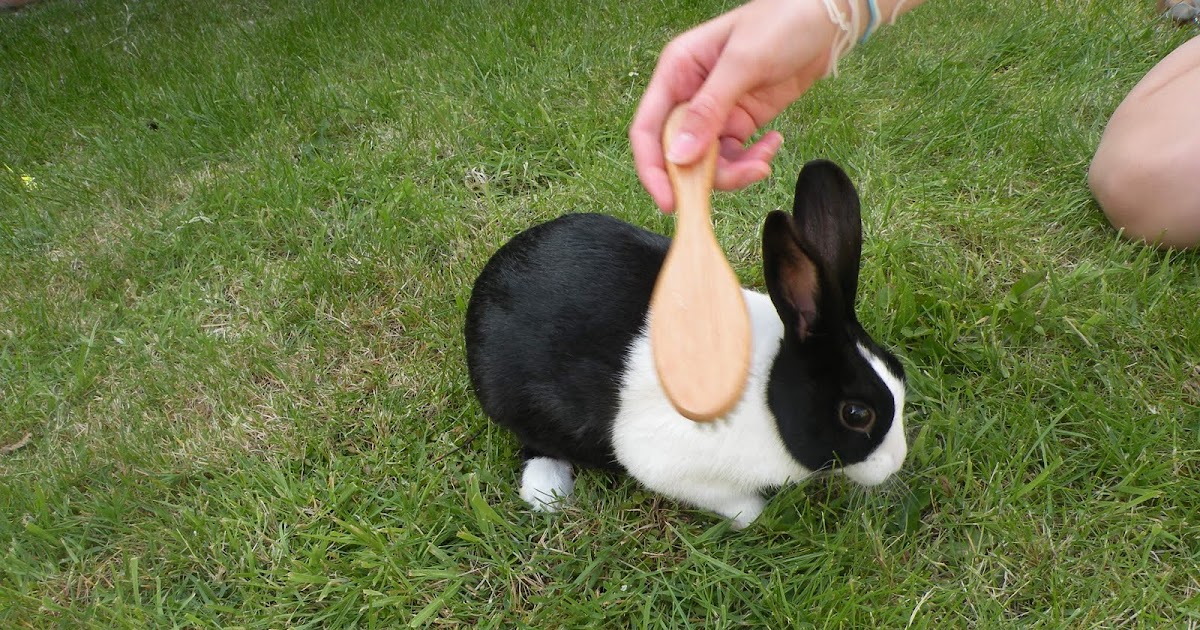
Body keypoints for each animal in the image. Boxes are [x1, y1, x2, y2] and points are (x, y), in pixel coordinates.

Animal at [464, 159, 906, 529]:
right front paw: (754, 516)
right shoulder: (674, 462)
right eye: (856, 414)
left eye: (898, 369)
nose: (896, 462)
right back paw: (548, 493)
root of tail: (488, 279)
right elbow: (740, 506)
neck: (767, 393)